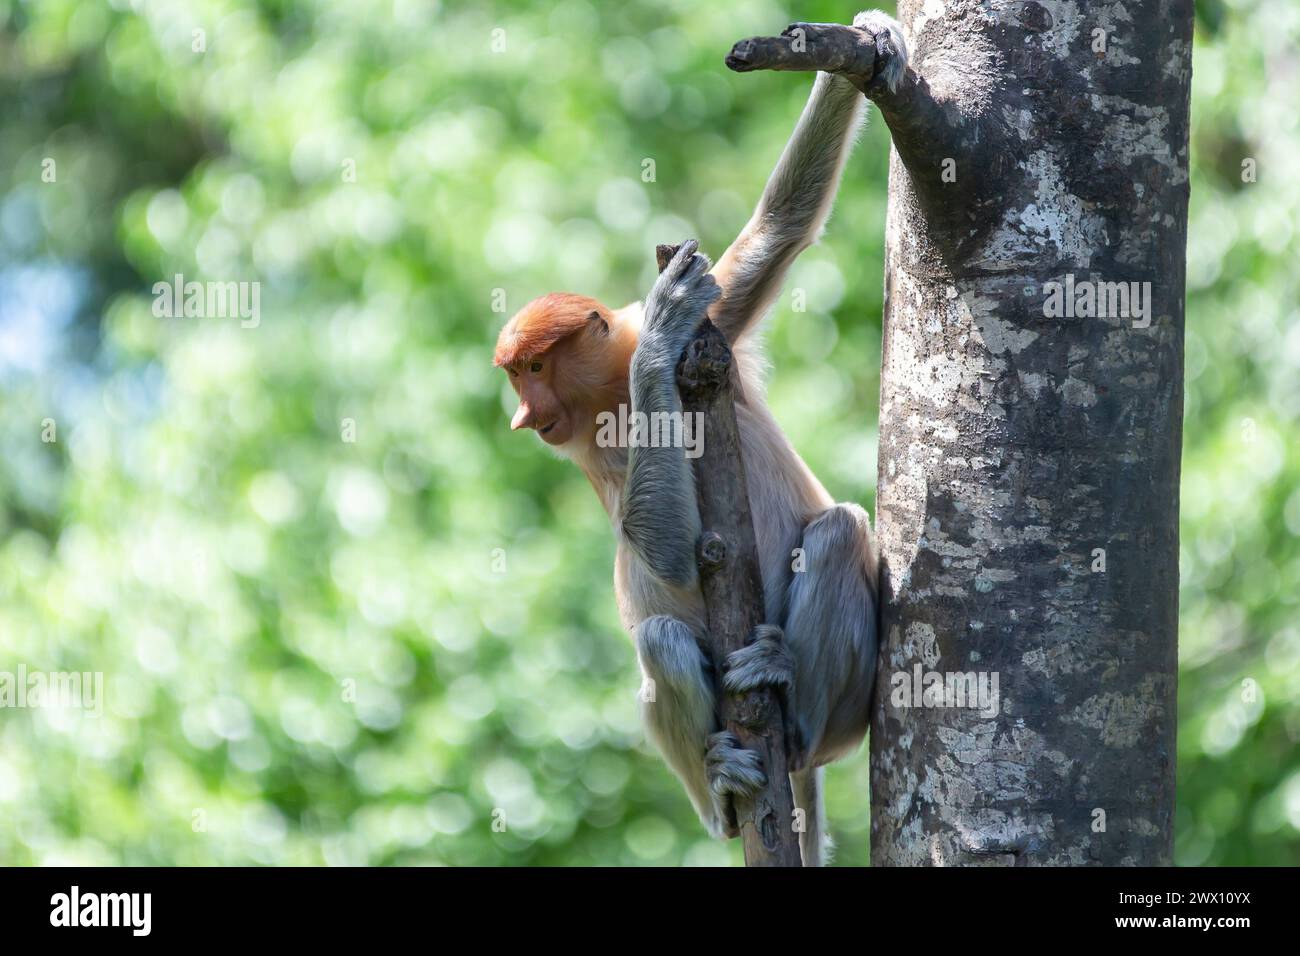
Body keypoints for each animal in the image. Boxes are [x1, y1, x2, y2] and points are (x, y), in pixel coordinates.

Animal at [491, 9, 909, 868]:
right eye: (516, 375)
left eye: (535, 366)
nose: (522, 417)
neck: (609, 390)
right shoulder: (592, 445)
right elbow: (667, 548)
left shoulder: (711, 335)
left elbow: (778, 233)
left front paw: (865, 38)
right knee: (658, 637)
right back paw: (724, 785)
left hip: (848, 706)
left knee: (840, 531)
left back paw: (788, 690)